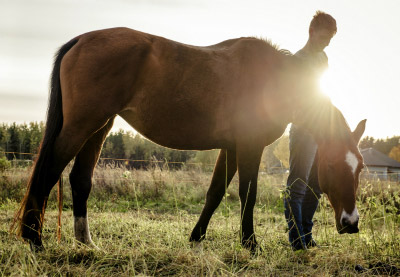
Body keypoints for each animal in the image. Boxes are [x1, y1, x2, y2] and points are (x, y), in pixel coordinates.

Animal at [13, 27, 366, 250]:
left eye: (360, 167)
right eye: (331, 166)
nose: (351, 223)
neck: (275, 79)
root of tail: (80, 40)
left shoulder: (230, 148)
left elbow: (215, 193)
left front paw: (197, 237)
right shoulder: (249, 146)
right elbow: (247, 194)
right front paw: (250, 243)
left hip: (100, 126)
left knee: (80, 179)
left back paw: (86, 243)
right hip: (82, 126)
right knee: (48, 172)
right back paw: (34, 239)